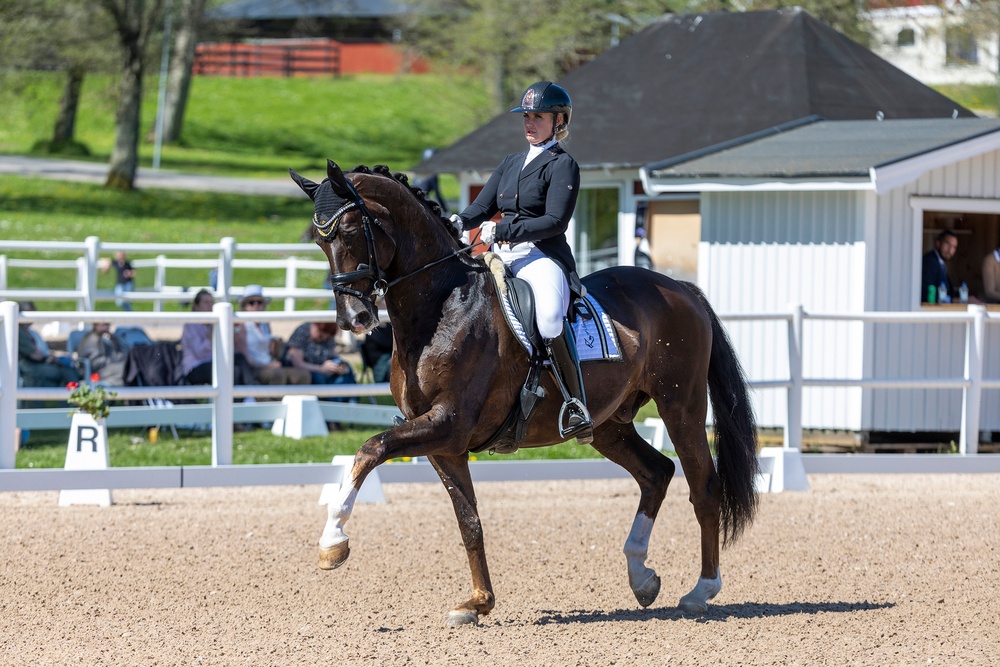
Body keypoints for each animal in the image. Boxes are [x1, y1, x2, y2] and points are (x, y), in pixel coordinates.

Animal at [290, 160, 756, 628]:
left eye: (351, 230)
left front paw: (332, 542)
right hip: (609, 424)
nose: (353, 318)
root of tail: (680, 288)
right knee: (656, 472)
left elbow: (371, 448)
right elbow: (468, 520)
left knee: (704, 486)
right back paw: (641, 577)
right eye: (319, 240)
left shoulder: (449, 424)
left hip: (681, 406)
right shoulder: (445, 443)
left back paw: (700, 591)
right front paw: (478, 602)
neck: (442, 306)